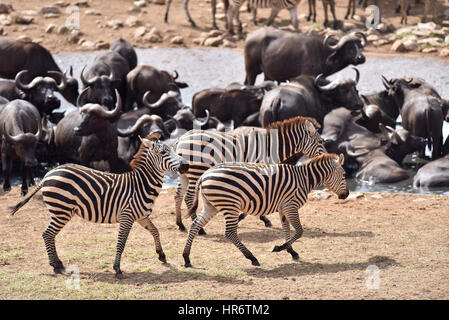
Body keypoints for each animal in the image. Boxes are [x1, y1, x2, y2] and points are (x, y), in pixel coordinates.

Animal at [10, 136, 189, 278]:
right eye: (163, 153)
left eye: (173, 150)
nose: (186, 165)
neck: (141, 185)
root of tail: (48, 174)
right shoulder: (127, 216)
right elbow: (121, 242)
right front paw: (117, 269)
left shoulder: (141, 216)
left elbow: (155, 231)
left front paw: (162, 256)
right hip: (61, 211)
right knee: (47, 234)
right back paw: (56, 266)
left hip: (60, 211)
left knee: (49, 234)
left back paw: (58, 264)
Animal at [173, 116, 324, 234]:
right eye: (321, 142)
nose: (326, 157)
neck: (270, 147)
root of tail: (182, 138)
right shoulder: (262, 170)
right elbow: (262, 193)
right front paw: (258, 218)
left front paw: (252, 217)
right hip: (196, 171)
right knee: (188, 198)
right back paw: (200, 229)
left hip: (184, 173)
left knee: (178, 195)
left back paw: (180, 224)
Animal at [181, 154, 346, 268]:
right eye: (344, 175)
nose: (346, 195)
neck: (305, 179)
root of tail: (204, 175)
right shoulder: (291, 206)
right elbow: (299, 231)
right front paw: (278, 248)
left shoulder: (283, 208)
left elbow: (286, 230)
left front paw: (291, 251)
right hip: (230, 205)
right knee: (230, 233)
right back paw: (252, 258)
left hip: (211, 206)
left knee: (195, 226)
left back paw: (186, 258)